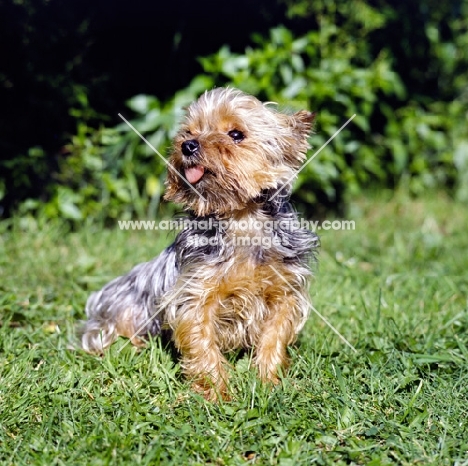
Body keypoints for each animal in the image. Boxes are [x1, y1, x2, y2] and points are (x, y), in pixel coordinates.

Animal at [83, 86, 318, 396]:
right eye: (189, 131)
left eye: (236, 134)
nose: (188, 145)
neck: (241, 219)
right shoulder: (196, 293)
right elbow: (201, 341)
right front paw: (217, 392)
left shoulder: (285, 291)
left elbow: (275, 335)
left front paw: (269, 381)